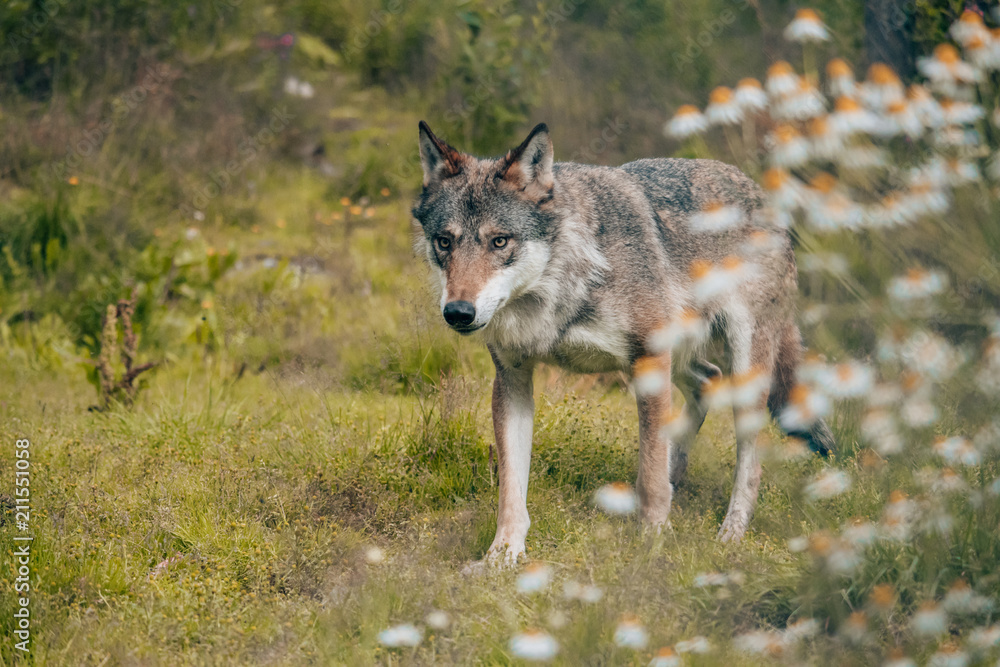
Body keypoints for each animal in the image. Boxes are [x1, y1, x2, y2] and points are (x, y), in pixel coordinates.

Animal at [411, 121, 834, 566]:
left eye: (499, 241)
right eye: (444, 242)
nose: (458, 312)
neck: (563, 285)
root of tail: (760, 194)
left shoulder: (648, 360)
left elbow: (650, 475)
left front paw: (652, 544)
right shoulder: (512, 379)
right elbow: (511, 489)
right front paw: (502, 557)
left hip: (739, 372)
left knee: (747, 463)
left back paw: (730, 533)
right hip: (681, 361)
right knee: (706, 381)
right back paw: (677, 478)